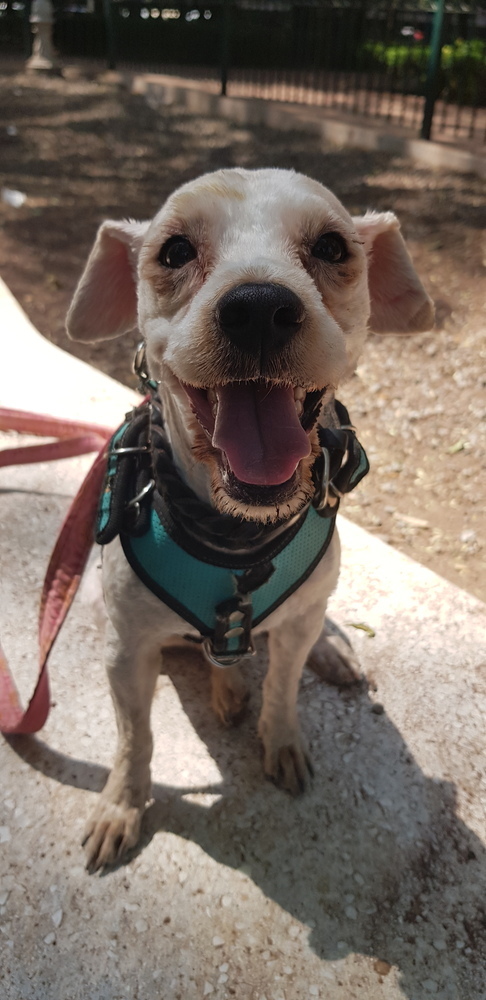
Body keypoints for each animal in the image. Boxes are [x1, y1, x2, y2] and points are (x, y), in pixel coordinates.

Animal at [65, 168, 432, 872]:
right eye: (175, 251)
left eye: (332, 247)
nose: (259, 307)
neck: (237, 536)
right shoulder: (126, 655)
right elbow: (134, 739)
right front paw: (121, 805)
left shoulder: (293, 630)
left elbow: (285, 690)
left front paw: (282, 740)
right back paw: (227, 685)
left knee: (310, 623)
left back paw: (326, 653)